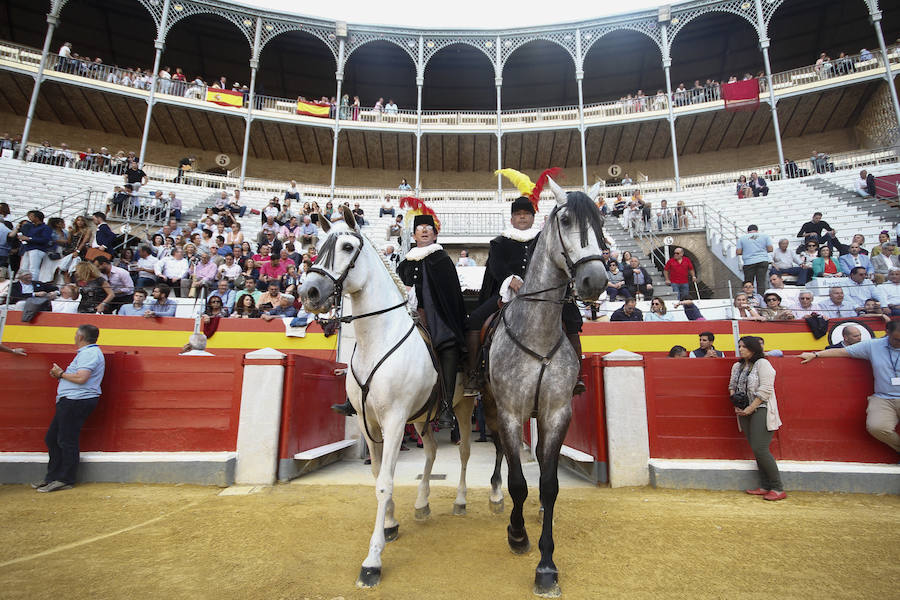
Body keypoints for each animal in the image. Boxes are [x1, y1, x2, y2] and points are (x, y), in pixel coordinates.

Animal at [298, 205, 474, 584]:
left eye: (348, 247)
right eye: (317, 247)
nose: (310, 292)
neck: (375, 339)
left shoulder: (394, 422)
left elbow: (385, 483)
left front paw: (373, 560)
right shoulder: (371, 424)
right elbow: (378, 475)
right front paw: (391, 524)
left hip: (464, 408)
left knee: (464, 452)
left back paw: (461, 501)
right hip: (422, 417)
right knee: (431, 452)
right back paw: (422, 503)